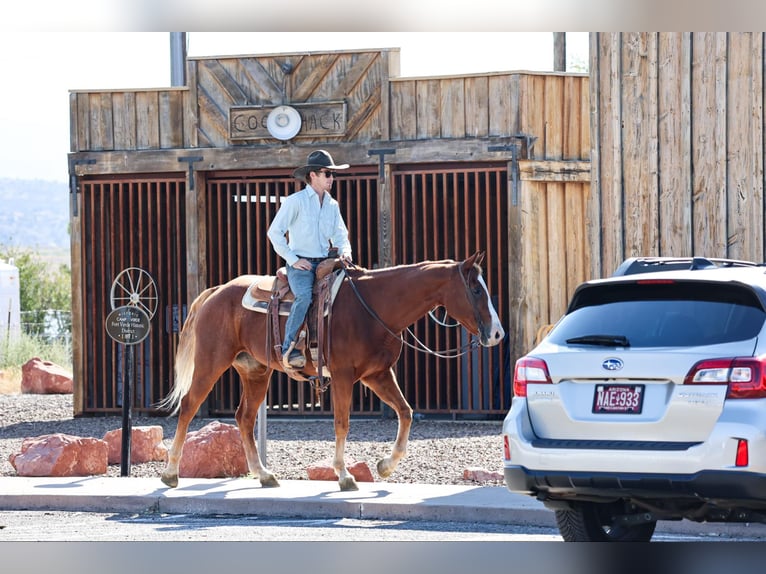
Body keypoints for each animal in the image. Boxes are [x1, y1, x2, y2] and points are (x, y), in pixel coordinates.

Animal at [159, 251, 505, 492]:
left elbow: (406, 412)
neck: (376, 307)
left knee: (244, 417)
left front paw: (385, 466)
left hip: (255, 372)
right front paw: (344, 475)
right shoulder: (342, 376)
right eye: (476, 290)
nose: (498, 334)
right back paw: (171, 473)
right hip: (211, 362)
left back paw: (264, 475)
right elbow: (342, 423)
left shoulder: (378, 375)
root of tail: (217, 290)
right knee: (189, 407)